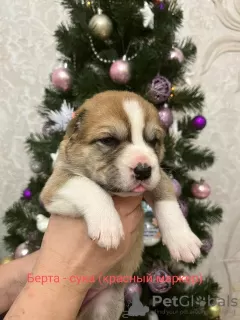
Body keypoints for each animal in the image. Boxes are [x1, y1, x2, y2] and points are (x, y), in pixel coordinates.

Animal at [40, 90, 202, 320]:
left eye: (153, 141)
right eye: (108, 140)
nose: (143, 170)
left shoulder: (158, 176)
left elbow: (167, 199)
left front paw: (183, 241)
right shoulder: (55, 186)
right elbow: (89, 186)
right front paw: (108, 227)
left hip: (104, 305)